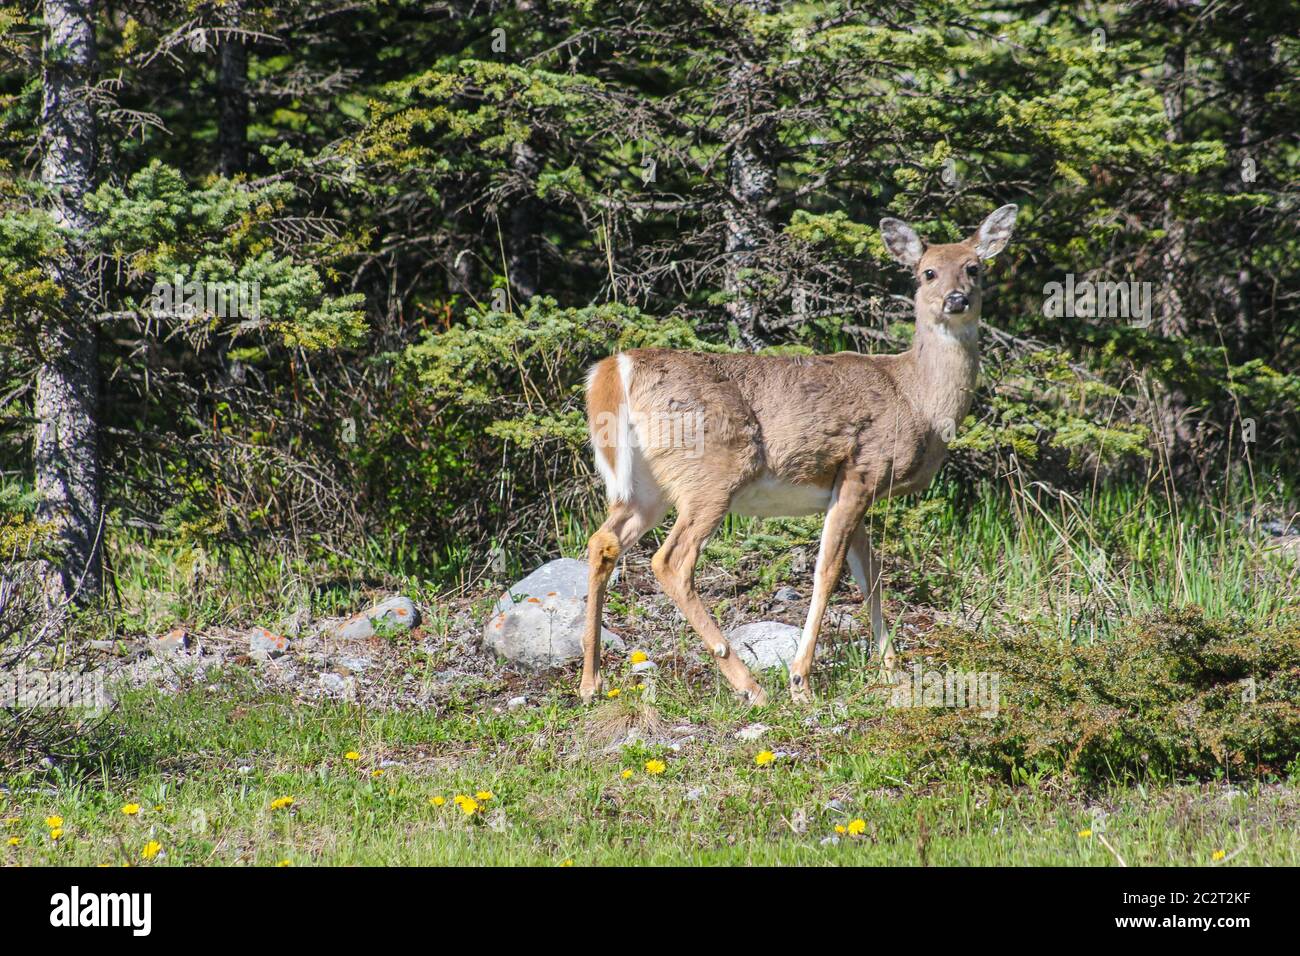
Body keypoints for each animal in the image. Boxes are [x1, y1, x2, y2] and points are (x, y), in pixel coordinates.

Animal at [579, 205, 1013, 707]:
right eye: (927, 272)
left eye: (974, 268)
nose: (956, 299)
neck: (915, 395)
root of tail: (615, 370)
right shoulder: (862, 468)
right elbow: (827, 572)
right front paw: (801, 680)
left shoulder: (853, 490)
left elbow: (871, 576)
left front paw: (893, 672)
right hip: (713, 471)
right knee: (671, 561)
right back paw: (749, 685)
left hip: (649, 486)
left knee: (603, 541)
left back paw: (591, 682)